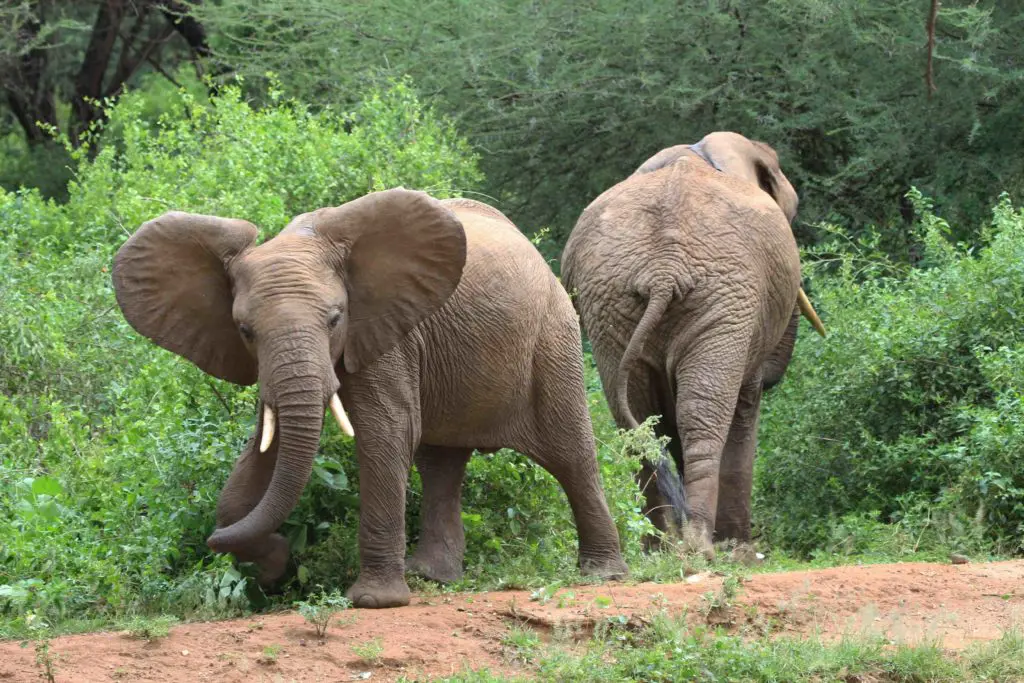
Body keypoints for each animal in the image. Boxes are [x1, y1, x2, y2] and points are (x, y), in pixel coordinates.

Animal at [112, 188, 628, 608]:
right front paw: (274, 562)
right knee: (440, 465)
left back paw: (603, 575)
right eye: (244, 331)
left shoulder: (387, 332)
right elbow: (265, 451)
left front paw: (373, 602)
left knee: (570, 454)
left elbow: (385, 433)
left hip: (554, 335)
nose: (209, 542)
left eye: (336, 318)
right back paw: (433, 577)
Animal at [561, 131, 825, 554]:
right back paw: (703, 547)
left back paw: (661, 547)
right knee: (704, 416)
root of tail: (663, 270)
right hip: (724, 296)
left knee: (638, 421)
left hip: (609, 301)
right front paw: (738, 551)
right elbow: (745, 402)